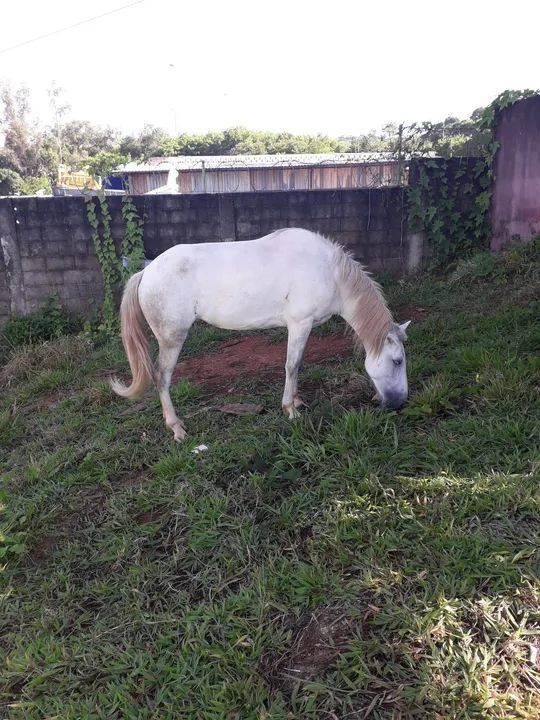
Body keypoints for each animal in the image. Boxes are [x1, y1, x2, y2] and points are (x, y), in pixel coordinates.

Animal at [111, 228, 410, 442]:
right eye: (397, 361)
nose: (399, 404)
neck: (329, 271)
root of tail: (146, 272)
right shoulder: (299, 324)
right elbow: (292, 365)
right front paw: (290, 409)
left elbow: (297, 365)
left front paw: (297, 400)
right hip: (172, 338)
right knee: (162, 376)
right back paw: (176, 428)